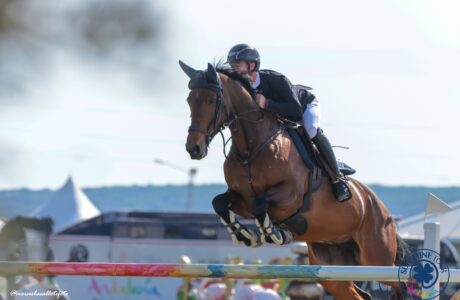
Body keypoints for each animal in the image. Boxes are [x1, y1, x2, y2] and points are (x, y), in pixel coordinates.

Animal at [180, 59, 406, 298]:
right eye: (189, 100)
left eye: (211, 100)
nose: (194, 148)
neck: (251, 149)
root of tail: (382, 209)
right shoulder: (242, 200)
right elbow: (220, 202)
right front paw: (245, 235)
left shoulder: (290, 196)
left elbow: (261, 204)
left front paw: (273, 234)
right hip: (332, 267)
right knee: (357, 293)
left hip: (376, 257)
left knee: (399, 283)